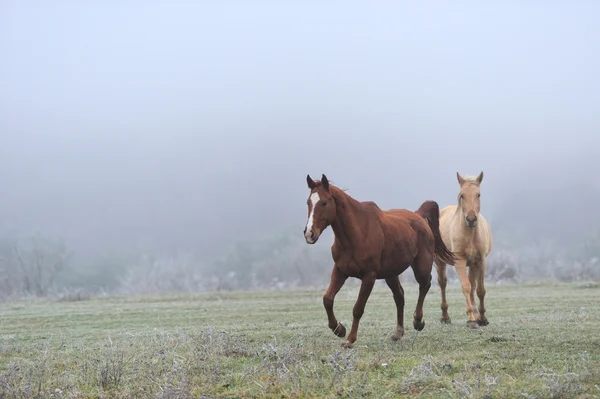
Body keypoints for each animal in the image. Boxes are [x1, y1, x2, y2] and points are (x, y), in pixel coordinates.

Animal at [302, 173, 452, 348]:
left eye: (324, 202)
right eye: (308, 202)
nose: (309, 234)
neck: (358, 234)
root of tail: (419, 216)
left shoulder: (369, 276)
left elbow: (358, 308)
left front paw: (350, 340)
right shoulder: (340, 271)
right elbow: (327, 299)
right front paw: (339, 329)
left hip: (421, 266)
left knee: (425, 285)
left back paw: (418, 321)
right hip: (391, 273)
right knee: (399, 296)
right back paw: (398, 332)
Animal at [436, 170, 492, 330]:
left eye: (478, 194)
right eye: (462, 195)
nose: (471, 219)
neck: (470, 234)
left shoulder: (480, 261)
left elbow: (480, 290)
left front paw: (482, 318)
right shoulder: (459, 261)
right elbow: (466, 287)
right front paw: (472, 320)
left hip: (472, 264)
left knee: (473, 286)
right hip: (440, 262)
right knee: (443, 284)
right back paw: (445, 317)